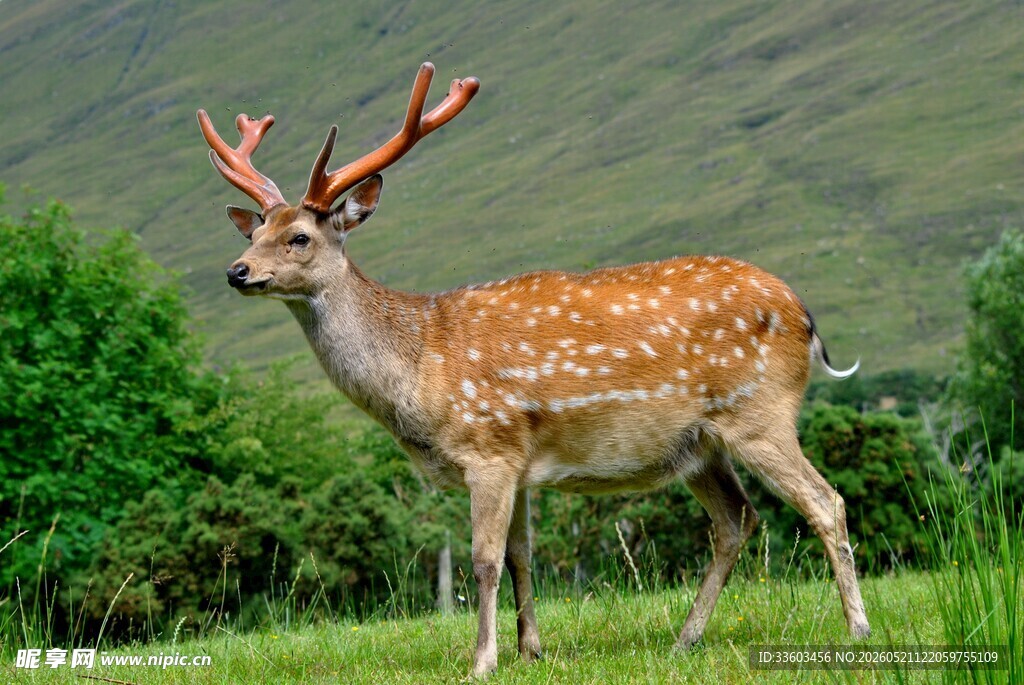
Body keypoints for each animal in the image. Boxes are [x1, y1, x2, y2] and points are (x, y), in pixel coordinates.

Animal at [197, 62, 870, 678]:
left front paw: (481, 661)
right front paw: (531, 649)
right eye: (255, 230)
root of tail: (804, 316)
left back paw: (857, 630)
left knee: (825, 502)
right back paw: (685, 639)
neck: (419, 373)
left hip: (759, 412)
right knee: (736, 520)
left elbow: (485, 559)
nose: (235, 271)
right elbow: (522, 555)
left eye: (301, 237)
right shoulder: (518, 458)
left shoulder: (488, 445)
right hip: (699, 444)